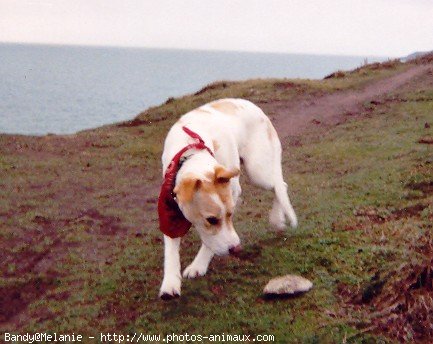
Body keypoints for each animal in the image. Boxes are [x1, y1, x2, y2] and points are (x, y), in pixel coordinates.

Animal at [159, 98, 296, 300]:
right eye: (211, 220)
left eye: (231, 214)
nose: (236, 249)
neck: (193, 153)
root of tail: (253, 106)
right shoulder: (169, 208)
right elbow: (170, 249)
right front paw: (170, 283)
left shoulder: (233, 191)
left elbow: (210, 242)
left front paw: (199, 264)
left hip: (257, 172)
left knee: (280, 186)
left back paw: (277, 219)